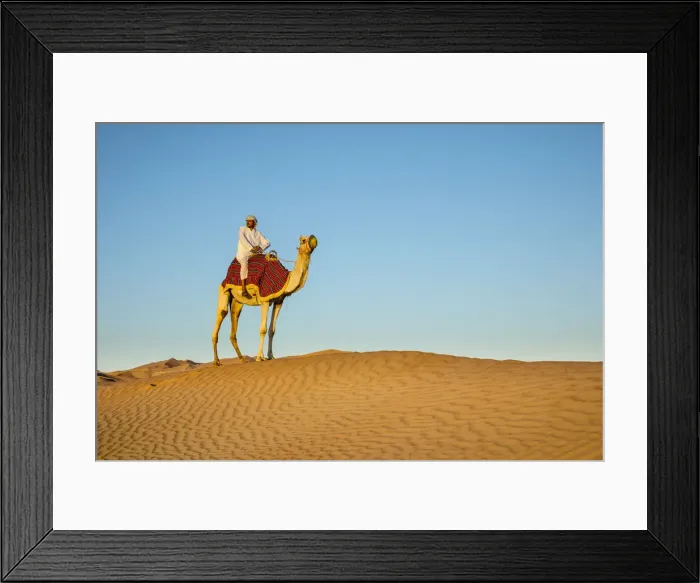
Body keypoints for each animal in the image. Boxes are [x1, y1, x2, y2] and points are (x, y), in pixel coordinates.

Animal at [212, 234, 318, 365]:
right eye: (303, 240)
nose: (313, 240)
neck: (285, 279)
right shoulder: (265, 299)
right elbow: (263, 329)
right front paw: (259, 358)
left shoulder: (279, 301)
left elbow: (272, 330)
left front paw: (270, 356)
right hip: (224, 290)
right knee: (222, 312)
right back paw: (216, 361)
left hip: (238, 301)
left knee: (234, 316)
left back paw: (242, 359)